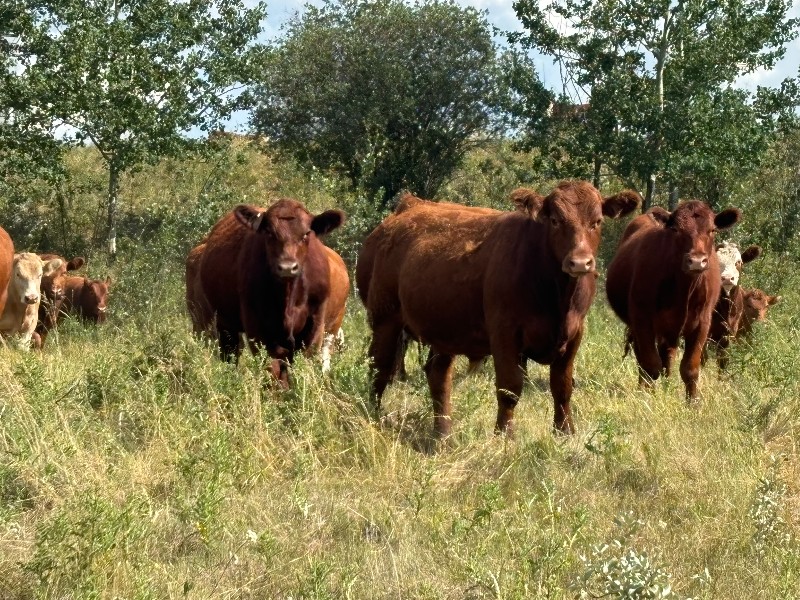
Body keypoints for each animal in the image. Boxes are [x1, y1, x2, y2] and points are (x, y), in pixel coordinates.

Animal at [187, 199, 346, 386]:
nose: (287, 267)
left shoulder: (315, 325)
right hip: (220, 324)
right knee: (231, 354)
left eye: (307, 234)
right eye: (269, 233)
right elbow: (273, 369)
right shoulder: (259, 329)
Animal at [357, 181, 640, 437]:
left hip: (443, 328)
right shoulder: (504, 333)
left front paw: (565, 432)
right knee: (379, 369)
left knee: (438, 375)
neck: (557, 296)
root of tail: (409, 206)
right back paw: (373, 416)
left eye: (597, 221)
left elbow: (562, 387)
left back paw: (443, 433)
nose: (580, 262)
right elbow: (510, 388)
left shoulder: (574, 333)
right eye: (555, 220)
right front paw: (505, 435)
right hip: (385, 319)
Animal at [605, 200, 742, 400]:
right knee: (645, 360)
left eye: (712, 230)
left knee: (666, 357)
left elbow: (690, 368)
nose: (697, 261)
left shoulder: (702, 323)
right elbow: (650, 365)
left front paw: (692, 401)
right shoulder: (642, 320)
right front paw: (648, 397)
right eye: (676, 230)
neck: (683, 288)